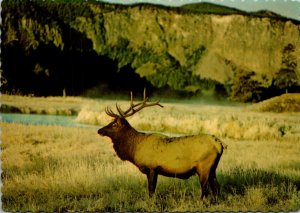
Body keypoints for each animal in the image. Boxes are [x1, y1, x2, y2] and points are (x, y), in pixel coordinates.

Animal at [97, 89, 226, 201]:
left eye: (114, 124)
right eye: (111, 122)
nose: (99, 130)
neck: (135, 148)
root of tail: (219, 144)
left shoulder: (152, 167)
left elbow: (151, 190)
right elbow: (151, 190)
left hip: (204, 167)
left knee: (205, 189)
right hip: (212, 169)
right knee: (216, 187)